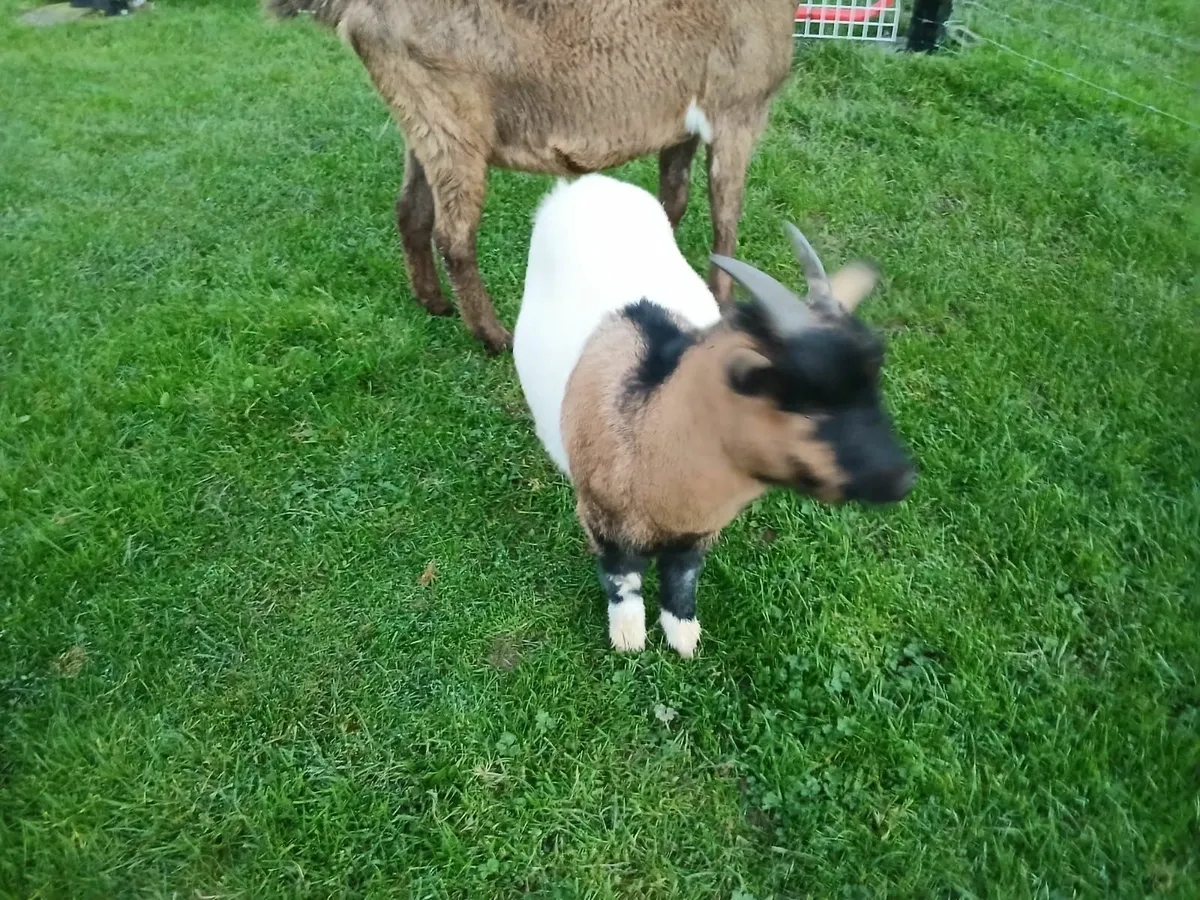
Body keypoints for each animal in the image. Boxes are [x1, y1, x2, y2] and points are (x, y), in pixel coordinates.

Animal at [264, 0, 799, 353]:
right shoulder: (738, 111)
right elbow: (726, 216)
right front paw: (725, 306)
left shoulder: (682, 126)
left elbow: (675, 199)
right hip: (451, 113)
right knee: (454, 235)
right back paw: (493, 336)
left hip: (421, 120)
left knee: (411, 210)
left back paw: (434, 303)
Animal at [514, 174, 915, 656]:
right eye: (796, 392)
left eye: (874, 378)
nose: (902, 479)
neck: (649, 426)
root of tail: (588, 183)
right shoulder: (601, 520)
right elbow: (622, 578)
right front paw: (629, 637)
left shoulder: (699, 533)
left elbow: (682, 578)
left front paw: (683, 636)